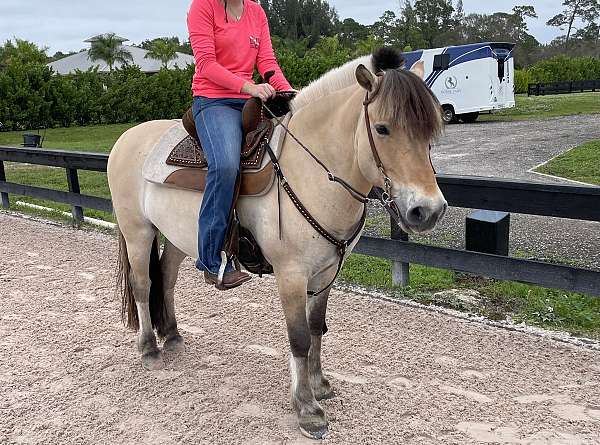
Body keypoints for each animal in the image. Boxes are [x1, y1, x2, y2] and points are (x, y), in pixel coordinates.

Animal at [106, 47, 446, 438]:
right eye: (383, 128)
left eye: (431, 129)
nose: (428, 210)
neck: (309, 169)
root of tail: (126, 138)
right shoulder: (291, 274)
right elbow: (298, 337)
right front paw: (307, 408)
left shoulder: (326, 273)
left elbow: (316, 328)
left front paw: (319, 384)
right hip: (137, 231)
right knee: (143, 285)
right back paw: (149, 348)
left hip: (177, 236)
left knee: (167, 278)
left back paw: (173, 336)